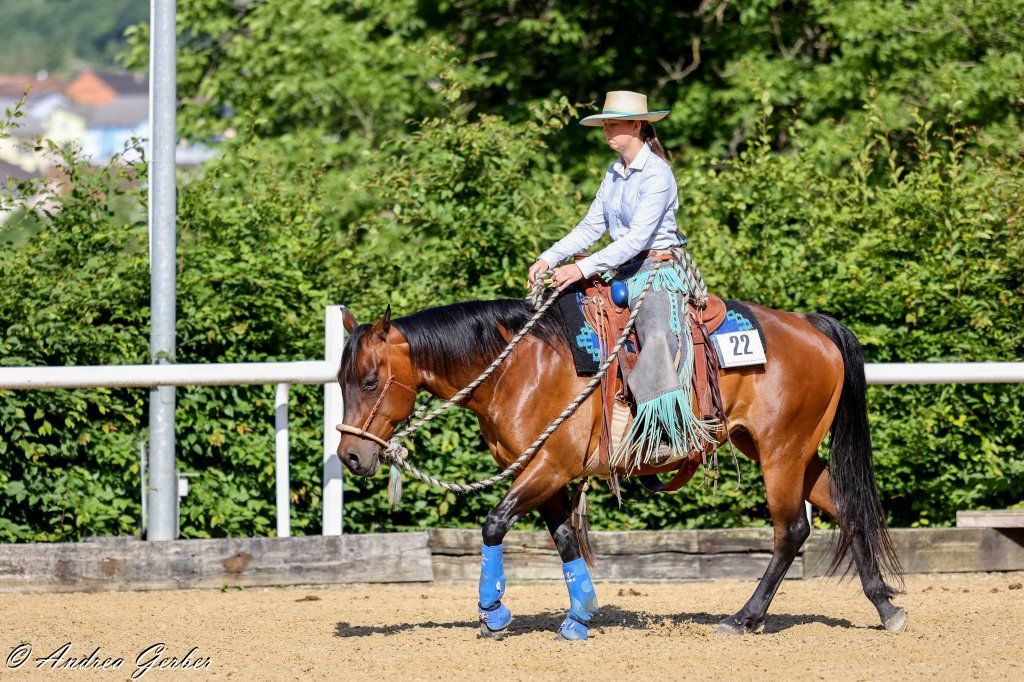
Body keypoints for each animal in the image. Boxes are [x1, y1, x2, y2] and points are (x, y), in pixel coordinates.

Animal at [334, 294, 905, 639]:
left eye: (370, 380)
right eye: (339, 380)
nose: (351, 456)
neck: (519, 368)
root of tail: (812, 326)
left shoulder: (548, 467)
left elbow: (494, 523)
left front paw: (493, 613)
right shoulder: (545, 475)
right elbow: (565, 538)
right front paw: (580, 615)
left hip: (780, 452)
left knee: (791, 531)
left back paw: (744, 618)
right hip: (792, 452)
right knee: (848, 510)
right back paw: (886, 607)